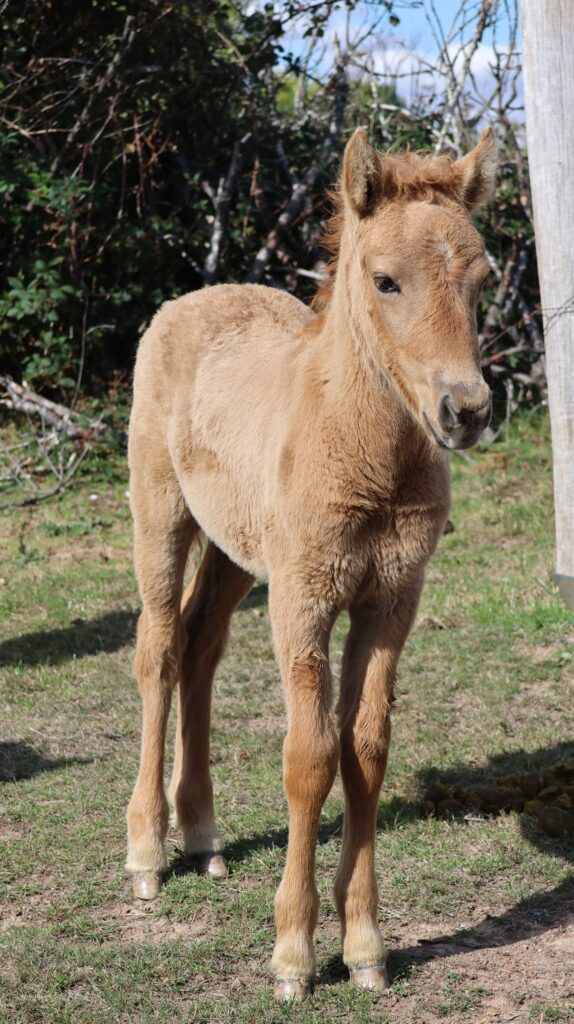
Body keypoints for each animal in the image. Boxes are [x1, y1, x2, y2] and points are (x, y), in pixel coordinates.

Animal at [127, 123, 495, 995]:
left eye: (483, 281)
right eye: (386, 280)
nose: (466, 410)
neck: (365, 449)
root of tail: (191, 299)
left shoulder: (390, 600)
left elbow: (365, 748)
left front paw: (363, 945)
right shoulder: (304, 599)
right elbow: (310, 755)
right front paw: (293, 952)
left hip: (236, 550)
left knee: (199, 646)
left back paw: (204, 833)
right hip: (161, 515)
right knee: (158, 647)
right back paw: (149, 849)